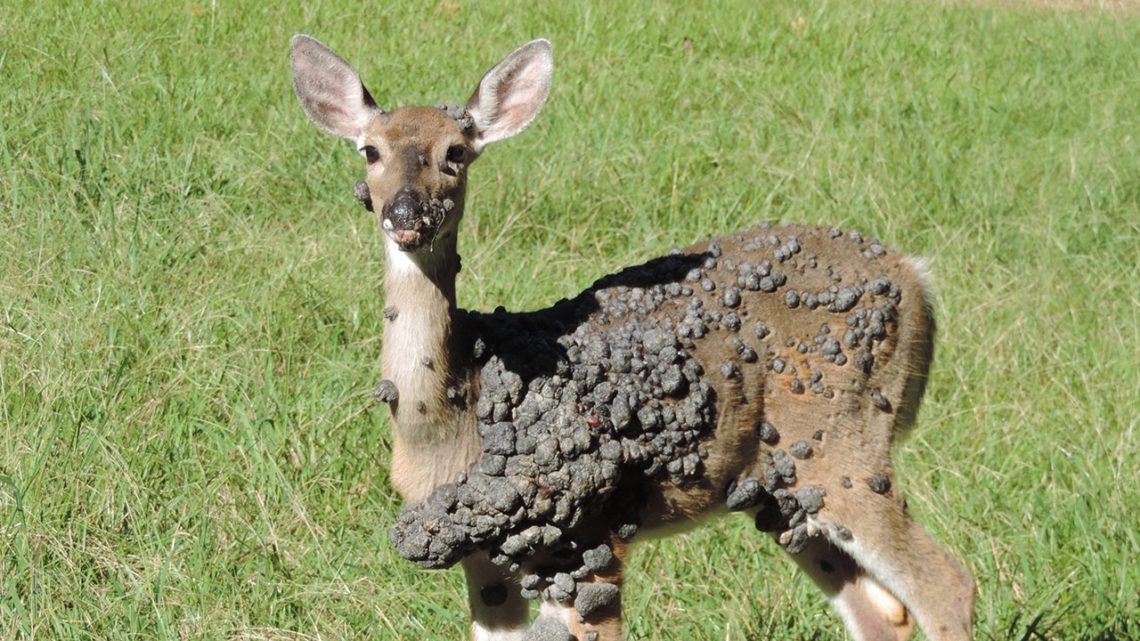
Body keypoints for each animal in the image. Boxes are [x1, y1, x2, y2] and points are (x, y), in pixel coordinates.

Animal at [289, 35, 976, 641]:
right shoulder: (482, 558)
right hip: (781, 489)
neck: (452, 420)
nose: (405, 214)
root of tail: (916, 278)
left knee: (948, 584)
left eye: (456, 150)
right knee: (884, 612)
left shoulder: (590, 541)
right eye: (369, 151)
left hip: (845, 440)